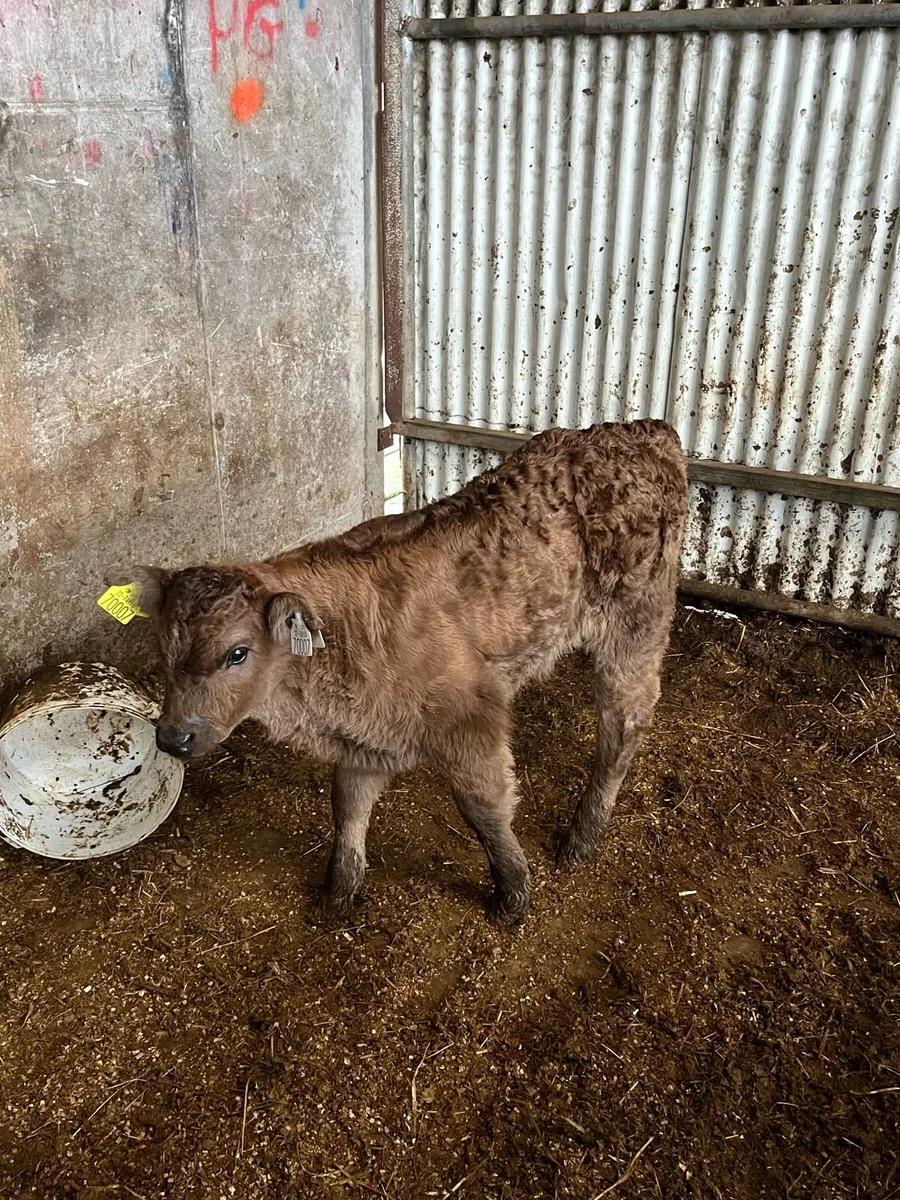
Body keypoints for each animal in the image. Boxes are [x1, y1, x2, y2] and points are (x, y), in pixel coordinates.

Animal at [127, 420, 687, 921]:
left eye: (238, 653)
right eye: (162, 648)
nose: (173, 737)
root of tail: (644, 431)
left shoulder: (472, 720)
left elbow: (484, 808)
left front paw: (512, 893)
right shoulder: (366, 737)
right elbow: (347, 807)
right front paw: (338, 894)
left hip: (635, 625)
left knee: (623, 727)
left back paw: (583, 835)